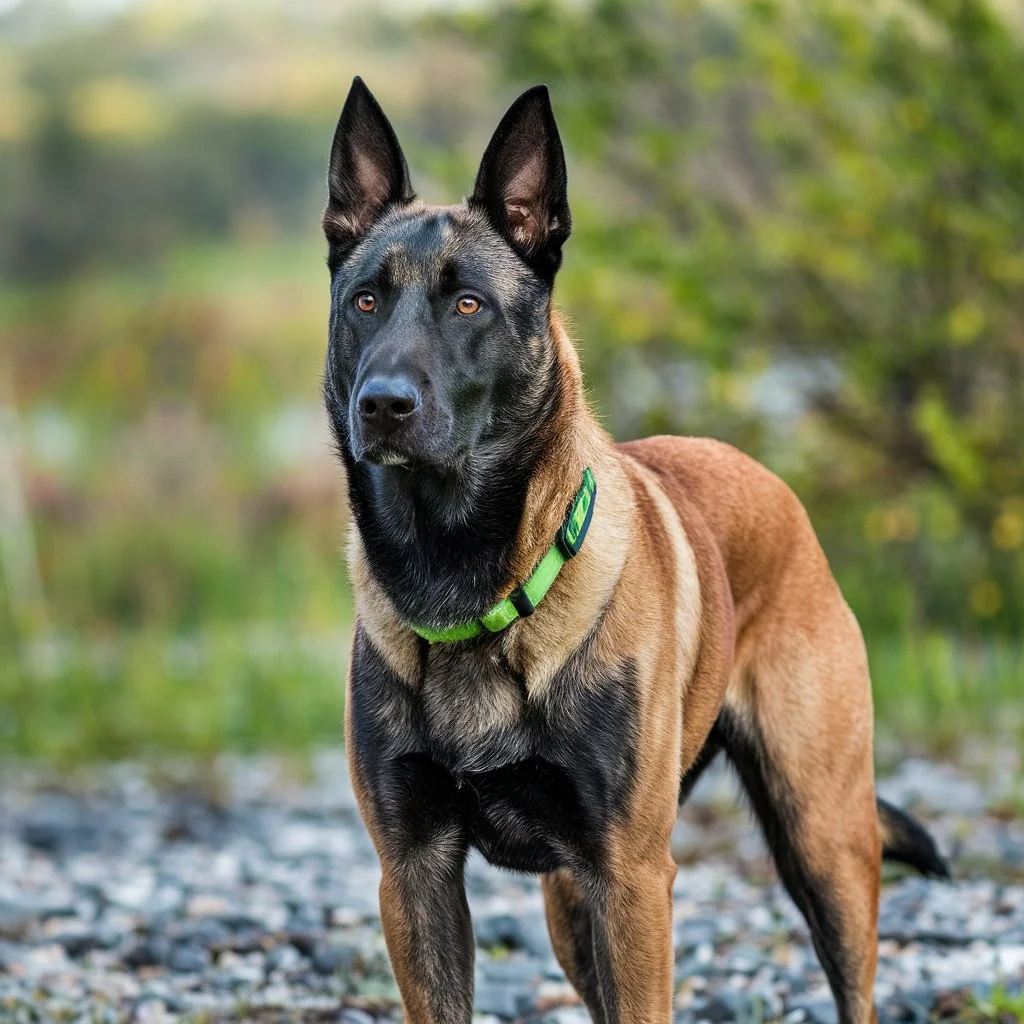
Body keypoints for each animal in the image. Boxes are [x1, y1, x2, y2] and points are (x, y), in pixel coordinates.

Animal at [321, 77, 950, 1024]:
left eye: (468, 304)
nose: (384, 405)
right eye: (365, 301)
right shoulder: (416, 875)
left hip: (823, 839)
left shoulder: (633, 877)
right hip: (572, 904)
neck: (464, 576)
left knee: (853, 978)